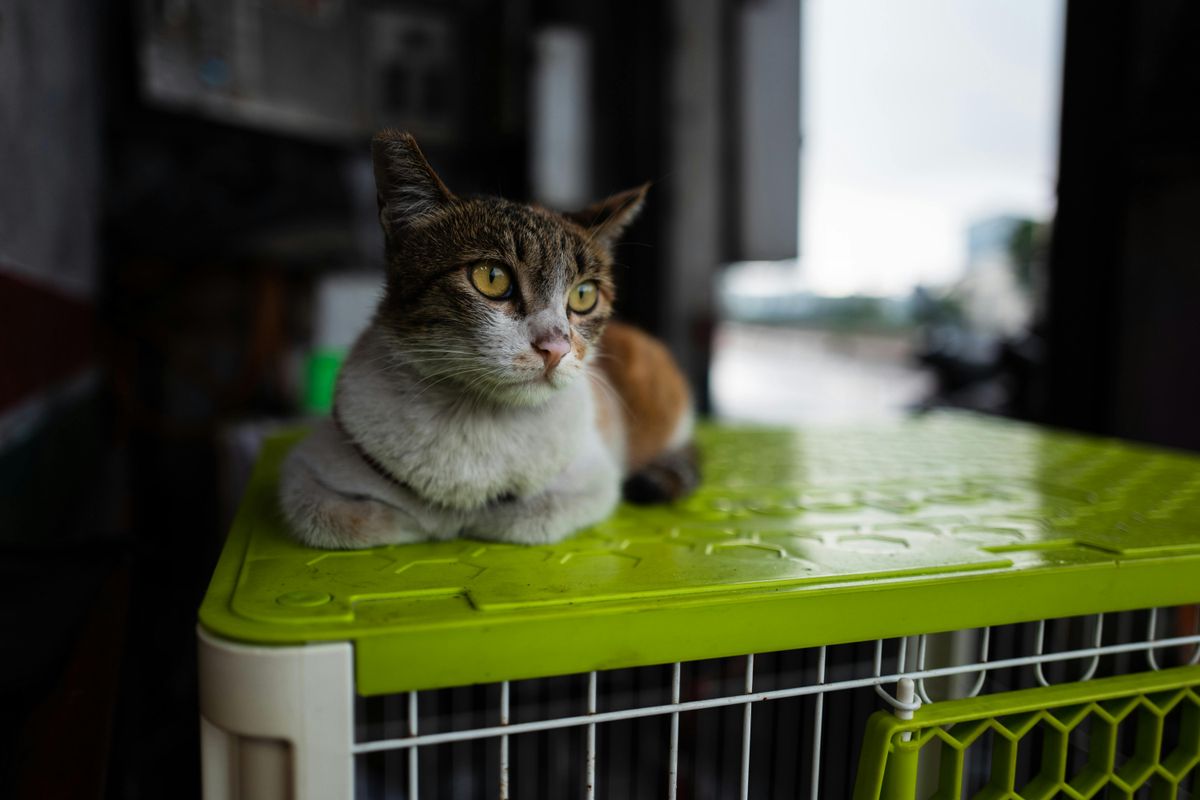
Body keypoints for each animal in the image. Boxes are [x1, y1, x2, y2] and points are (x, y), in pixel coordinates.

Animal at [277, 131, 700, 551]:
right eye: (492, 278)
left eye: (584, 295)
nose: (556, 347)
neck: (474, 414)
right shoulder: (309, 465)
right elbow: (344, 520)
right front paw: (422, 521)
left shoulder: (595, 475)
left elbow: (529, 516)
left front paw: (472, 518)